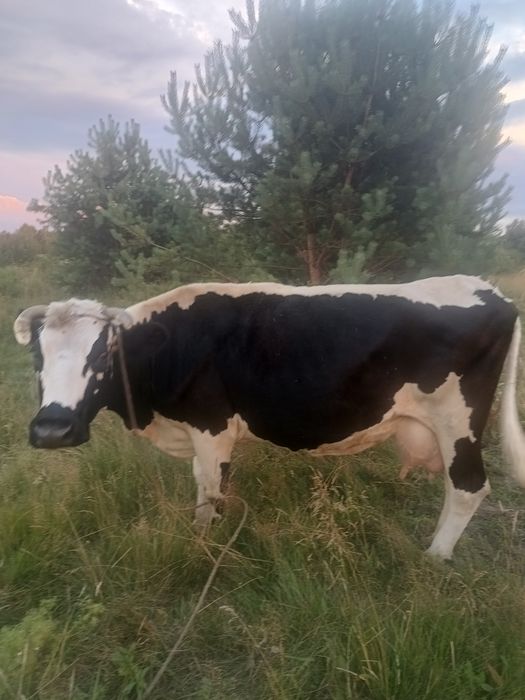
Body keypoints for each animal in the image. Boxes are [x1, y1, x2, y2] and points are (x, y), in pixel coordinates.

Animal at [13, 275, 525, 559]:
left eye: (103, 354)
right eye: (38, 356)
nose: (52, 429)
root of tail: (488, 290)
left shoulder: (211, 427)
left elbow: (210, 492)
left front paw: (204, 545)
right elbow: (204, 484)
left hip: (458, 421)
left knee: (468, 488)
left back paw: (434, 557)